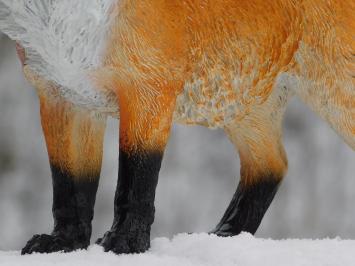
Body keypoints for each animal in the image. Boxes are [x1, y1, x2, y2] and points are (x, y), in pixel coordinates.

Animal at [0, 0, 354, 256]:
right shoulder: (64, 95)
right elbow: (70, 187)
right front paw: (65, 244)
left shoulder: (149, 88)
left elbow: (135, 184)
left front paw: (126, 243)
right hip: (241, 105)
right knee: (272, 165)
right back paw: (224, 234)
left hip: (337, 96)